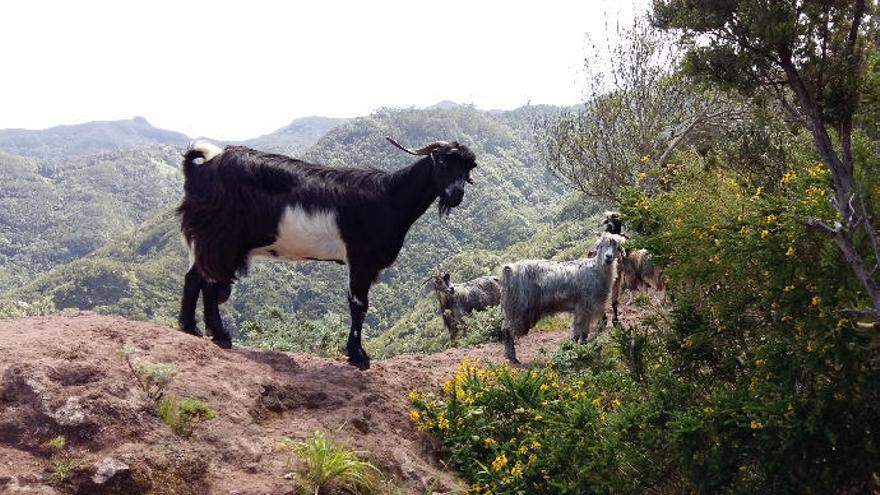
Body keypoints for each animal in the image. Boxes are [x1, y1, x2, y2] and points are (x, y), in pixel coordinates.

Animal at [174, 138, 474, 370]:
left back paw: (197, 330)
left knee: (199, 279)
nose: (455, 194)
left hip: (211, 241)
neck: (389, 199)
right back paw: (214, 333)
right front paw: (358, 356)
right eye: (442, 163)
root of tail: (199, 170)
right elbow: (359, 305)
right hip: (218, 237)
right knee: (206, 280)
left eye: (468, 167)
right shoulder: (360, 259)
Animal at [502, 232, 624, 364]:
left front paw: (576, 346)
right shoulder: (584, 306)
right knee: (507, 330)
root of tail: (509, 270)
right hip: (517, 308)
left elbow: (579, 329)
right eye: (601, 246)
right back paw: (513, 358)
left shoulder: (582, 308)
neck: (596, 270)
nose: (608, 257)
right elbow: (582, 329)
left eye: (616, 247)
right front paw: (580, 347)